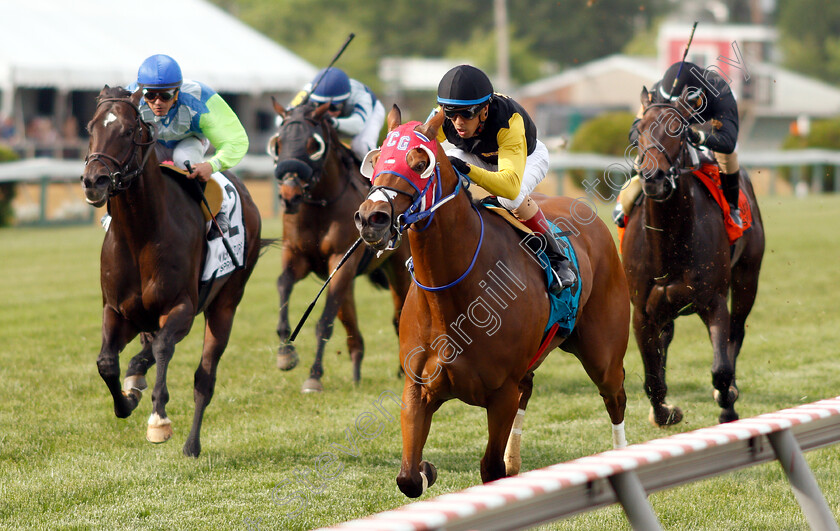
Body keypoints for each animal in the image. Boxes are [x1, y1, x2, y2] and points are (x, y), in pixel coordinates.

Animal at [81, 87, 268, 458]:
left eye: (127, 130)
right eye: (91, 127)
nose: (94, 180)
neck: (140, 234)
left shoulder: (181, 307)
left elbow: (164, 348)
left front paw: (159, 419)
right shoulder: (116, 310)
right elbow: (107, 362)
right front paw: (127, 399)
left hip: (225, 304)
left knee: (204, 377)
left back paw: (192, 445)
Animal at [270, 100, 412, 392]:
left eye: (313, 145)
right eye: (278, 143)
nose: (289, 196)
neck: (319, 206)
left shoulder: (341, 260)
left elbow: (324, 321)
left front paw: (314, 376)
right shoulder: (296, 256)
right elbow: (283, 284)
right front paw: (286, 352)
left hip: (397, 268)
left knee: (398, 314)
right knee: (352, 326)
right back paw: (356, 372)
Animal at [354, 107, 632, 498]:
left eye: (420, 162)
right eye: (376, 161)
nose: (371, 218)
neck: (450, 300)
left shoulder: (501, 395)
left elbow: (490, 468)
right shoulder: (418, 387)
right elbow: (407, 477)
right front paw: (426, 469)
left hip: (602, 351)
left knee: (614, 395)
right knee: (530, 388)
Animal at [624, 87, 768, 428]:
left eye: (677, 130)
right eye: (639, 129)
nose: (653, 177)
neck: (667, 243)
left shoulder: (713, 301)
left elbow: (721, 368)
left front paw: (727, 404)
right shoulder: (642, 312)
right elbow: (652, 378)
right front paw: (664, 412)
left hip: (747, 278)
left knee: (737, 333)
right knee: (665, 341)